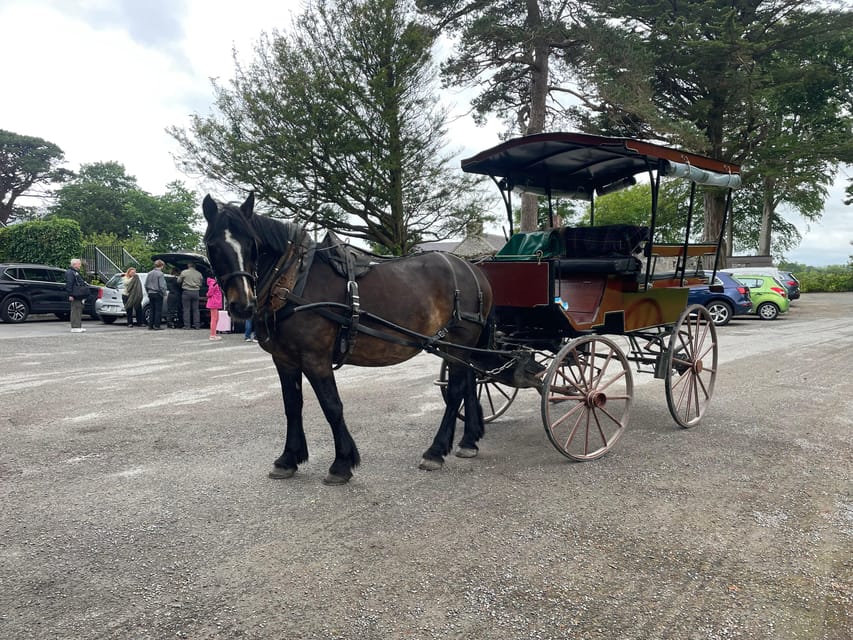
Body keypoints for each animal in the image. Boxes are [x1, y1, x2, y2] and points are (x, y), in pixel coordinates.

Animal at [202, 193, 495, 485]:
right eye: (212, 245)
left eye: (252, 244)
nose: (243, 305)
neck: (292, 281)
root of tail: (473, 269)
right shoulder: (284, 359)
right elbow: (292, 405)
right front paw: (288, 458)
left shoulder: (315, 358)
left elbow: (332, 406)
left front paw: (342, 462)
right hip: (459, 347)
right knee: (470, 382)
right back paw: (468, 440)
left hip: (457, 344)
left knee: (455, 391)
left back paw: (435, 451)